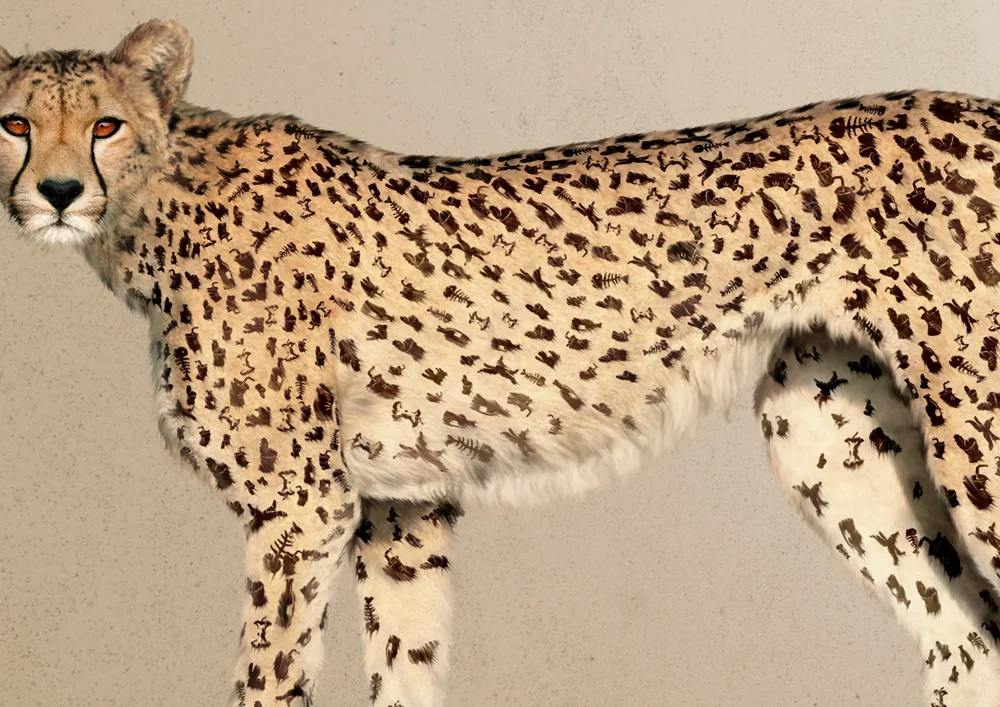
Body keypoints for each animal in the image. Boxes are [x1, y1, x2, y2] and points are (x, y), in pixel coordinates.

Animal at [7, 16, 1000, 706]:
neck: (152, 207)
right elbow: (404, 667)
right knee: (968, 643)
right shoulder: (399, 504)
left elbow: (268, 676)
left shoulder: (302, 507)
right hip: (827, 430)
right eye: (15, 123)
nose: (56, 192)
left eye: (104, 125)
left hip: (970, 434)